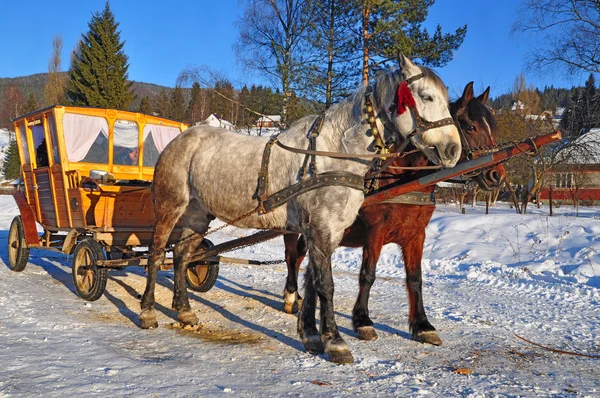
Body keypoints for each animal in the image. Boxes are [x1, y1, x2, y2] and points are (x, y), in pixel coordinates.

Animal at [143, 55, 462, 364]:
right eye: (426, 96)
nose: (453, 150)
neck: (332, 154)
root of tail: (181, 139)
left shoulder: (327, 230)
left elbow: (311, 280)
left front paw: (310, 335)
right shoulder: (321, 227)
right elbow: (326, 285)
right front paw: (335, 342)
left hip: (199, 215)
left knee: (182, 256)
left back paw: (184, 310)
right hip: (169, 208)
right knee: (157, 254)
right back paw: (147, 311)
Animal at [282, 82, 506, 346]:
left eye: (492, 128)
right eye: (471, 127)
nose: (497, 175)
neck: (404, 178)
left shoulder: (415, 234)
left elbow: (415, 278)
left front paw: (422, 325)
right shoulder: (375, 231)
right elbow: (367, 275)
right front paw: (363, 321)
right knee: (293, 256)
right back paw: (290, 295)